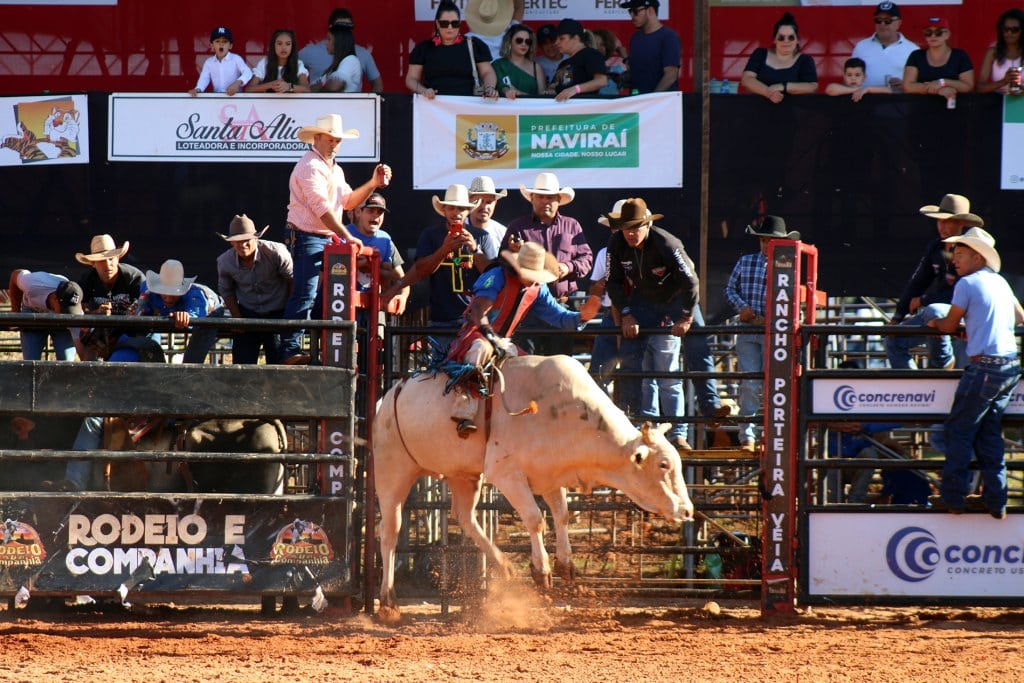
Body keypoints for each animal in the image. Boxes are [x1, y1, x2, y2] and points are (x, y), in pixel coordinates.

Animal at [372, 356, 692, 622]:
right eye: (663, 464)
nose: (687, 510)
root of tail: (390, 395)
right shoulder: (507, 473)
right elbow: (535, 519)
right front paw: (542, 571)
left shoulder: (552, 475)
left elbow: (561, 516)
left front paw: (566, 564)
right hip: (392, 469)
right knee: (389, 531)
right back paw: (388, 603)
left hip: (463, 475)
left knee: (464, 516)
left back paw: (504, 566)